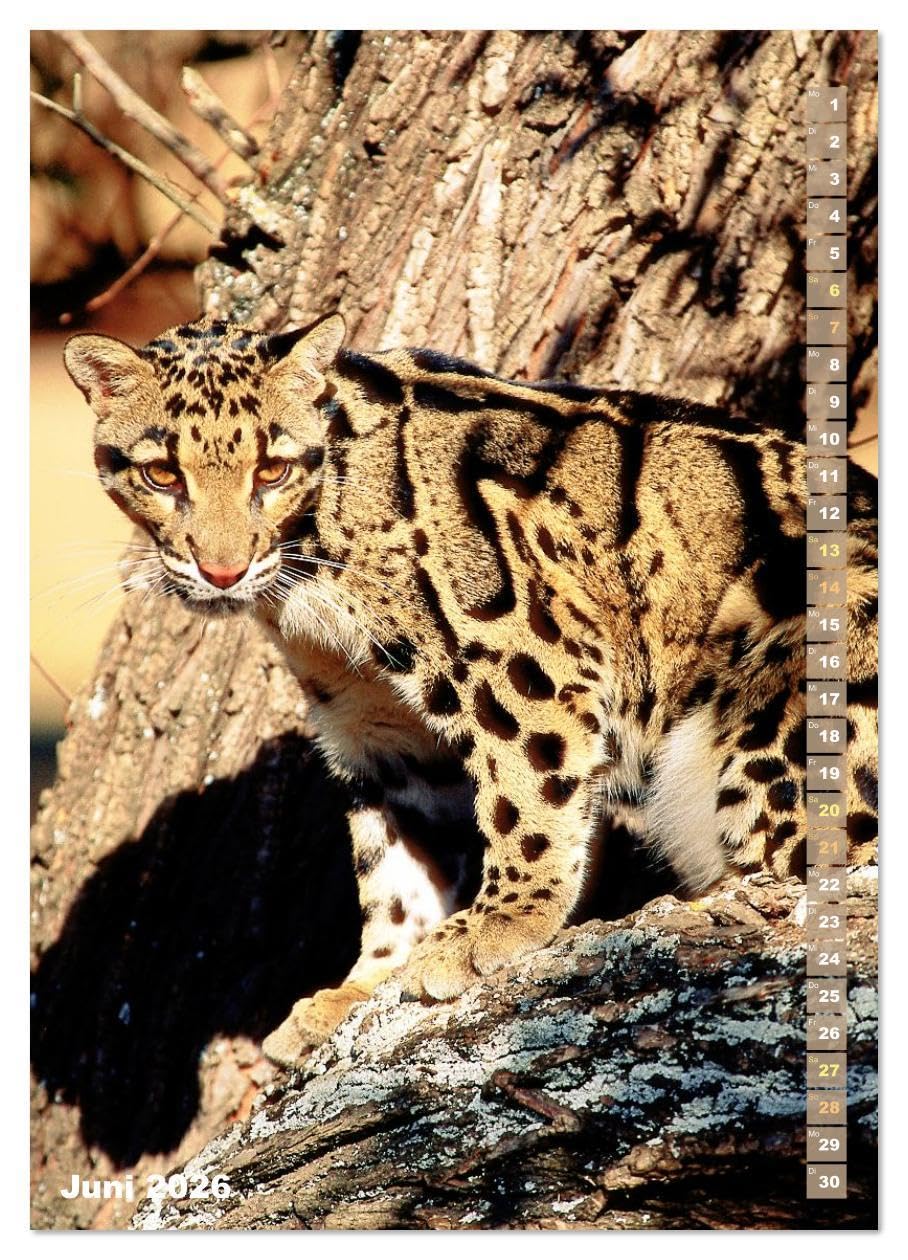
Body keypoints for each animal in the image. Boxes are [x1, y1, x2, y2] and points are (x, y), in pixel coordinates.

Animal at [64, 314, 879, 1067]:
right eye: (162, 475)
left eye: (271, 470)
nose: (222, 571)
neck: (308, 576)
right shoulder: (375, 725)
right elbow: (394, 871)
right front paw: (365, 985)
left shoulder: (528, 657)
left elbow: (527, 796)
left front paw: (502, 923)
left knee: (817, 862)